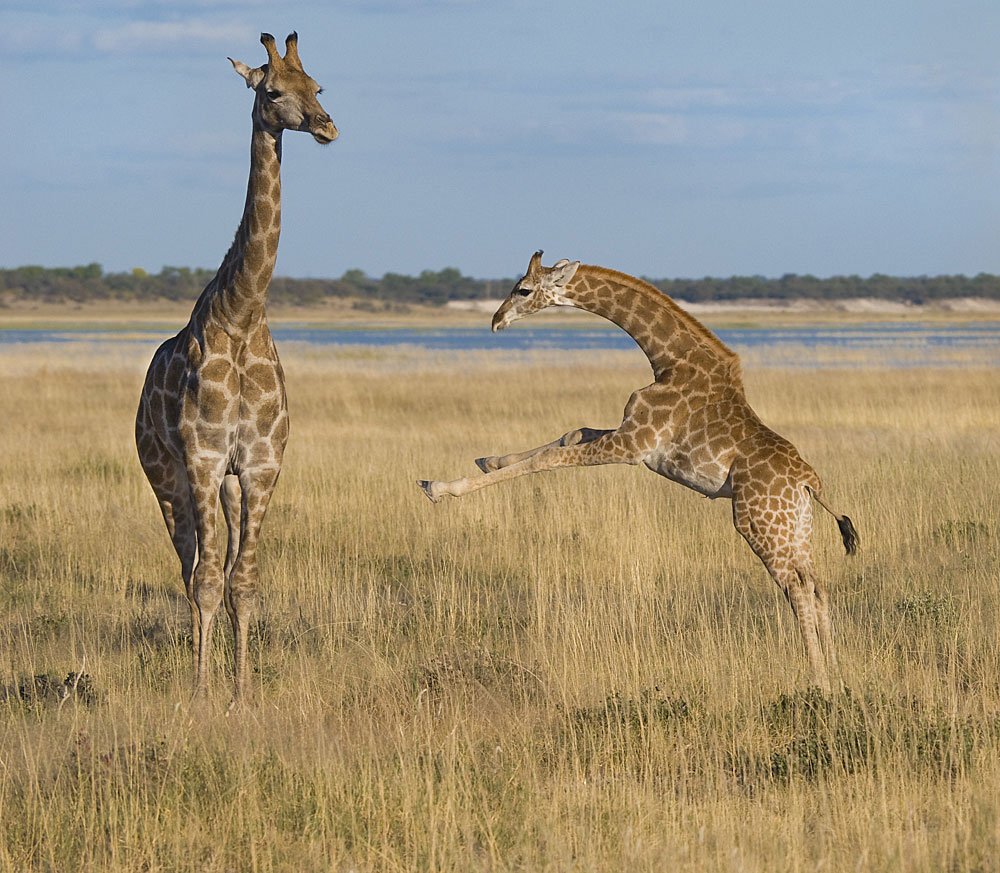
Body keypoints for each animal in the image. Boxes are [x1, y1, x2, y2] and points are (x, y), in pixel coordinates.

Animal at [135, 32, 337, 702]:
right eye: (271, 92)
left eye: (317, 86)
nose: (327, 126)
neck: (244, 313)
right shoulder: (200, 459)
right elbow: (204, 583)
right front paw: (202, 695)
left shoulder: (259, 466)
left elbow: (243, 585)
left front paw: (242, 694)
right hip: (165, 476)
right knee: (189, 568)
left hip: (223, 485)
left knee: (218, 568)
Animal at [418, 251, 858, 690]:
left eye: (523, 290)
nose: (496, 320)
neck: (669, 361)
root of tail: (809, 482)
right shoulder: (628, 435)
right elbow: (571, 432)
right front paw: (488, 460)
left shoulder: (634, 445)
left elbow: (548, 458)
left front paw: (438, 486)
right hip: (794, 526)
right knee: (817, 586)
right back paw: (837, 673)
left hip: (757, 522)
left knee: (796, 588)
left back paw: (818, 680)